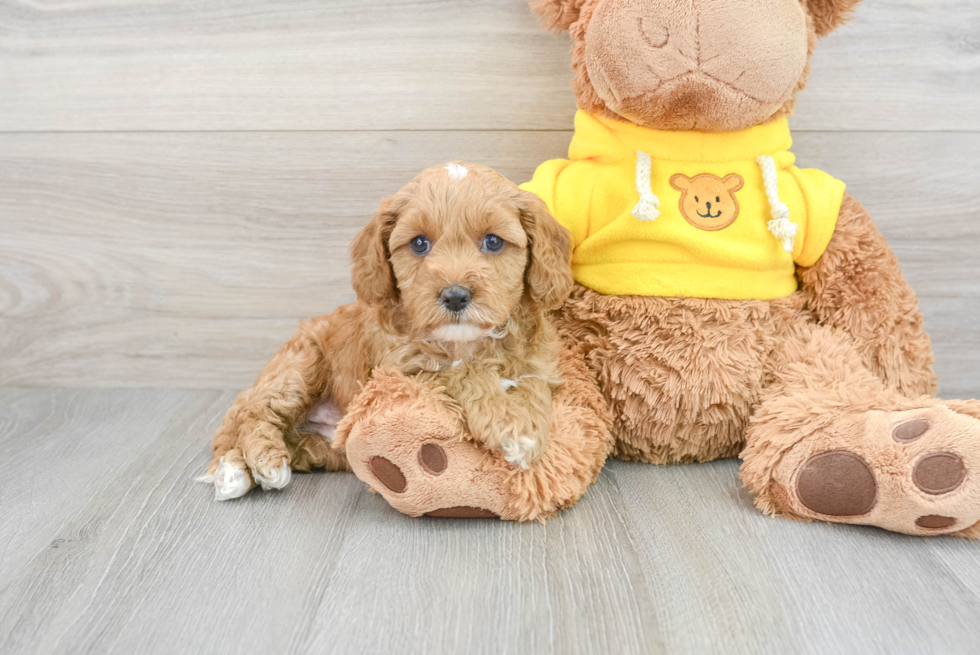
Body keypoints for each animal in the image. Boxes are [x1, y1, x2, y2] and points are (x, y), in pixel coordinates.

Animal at [204, 161, 580, 500]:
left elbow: (533, 385)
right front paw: (508, 424)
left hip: (328, 444)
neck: (467, 343)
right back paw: (251, 465)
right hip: (299, 367)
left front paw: (526, 421)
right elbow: (458, 373)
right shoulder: (401, 371)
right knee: (250, 413)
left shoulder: (538, 363)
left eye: (493, 242)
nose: (455, 296)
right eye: (419, 244)